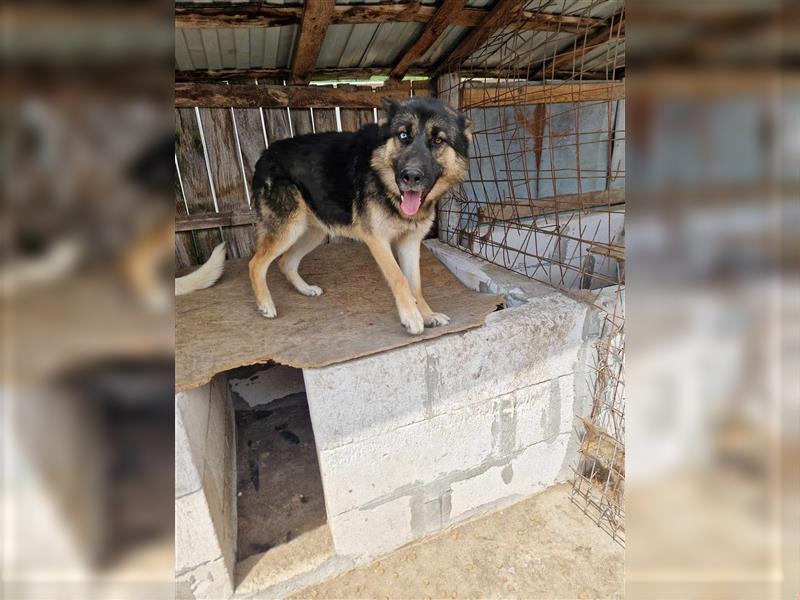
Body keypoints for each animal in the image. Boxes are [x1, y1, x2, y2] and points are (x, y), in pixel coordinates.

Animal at [244, 96, 468, 336]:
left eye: (438, 140)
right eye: (403, 135)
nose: (411, 176)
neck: (385, 182)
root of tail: (266, 153)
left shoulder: (410, 243)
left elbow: (415, 284)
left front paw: (427, 314)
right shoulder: (377, 240)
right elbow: (399, 278)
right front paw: (411, 317)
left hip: (312, 232)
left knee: (286, 262)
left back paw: (305, 289)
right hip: (288, 229)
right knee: (255, 264)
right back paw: (266, 304)